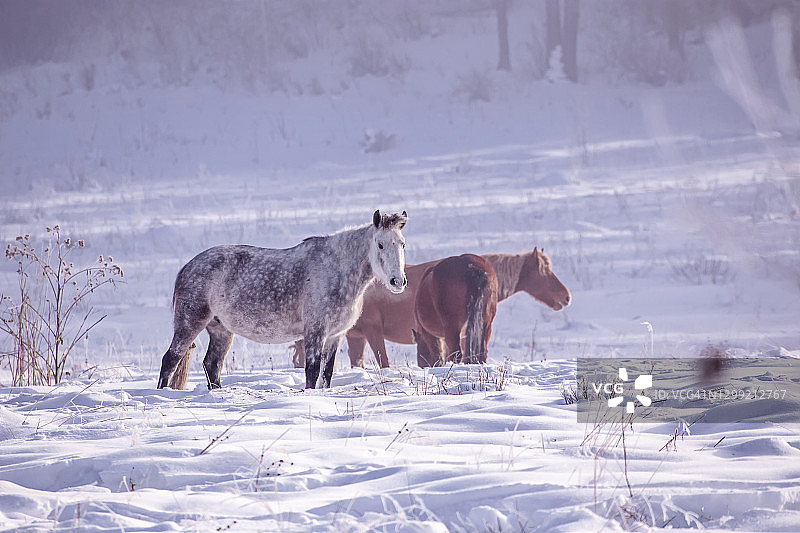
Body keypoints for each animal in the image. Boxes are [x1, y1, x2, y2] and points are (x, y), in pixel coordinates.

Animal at [157, 210, 408, 390]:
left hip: (221, 330)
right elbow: (312, 371)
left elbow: (327, 373)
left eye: (402, 243)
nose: (398, 281)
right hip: (190, 323)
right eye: (380, 244)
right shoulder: (315, 332)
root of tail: (187, 267)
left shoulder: (335, 336)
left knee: (212, 365)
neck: (335, 270)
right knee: (171, 359)